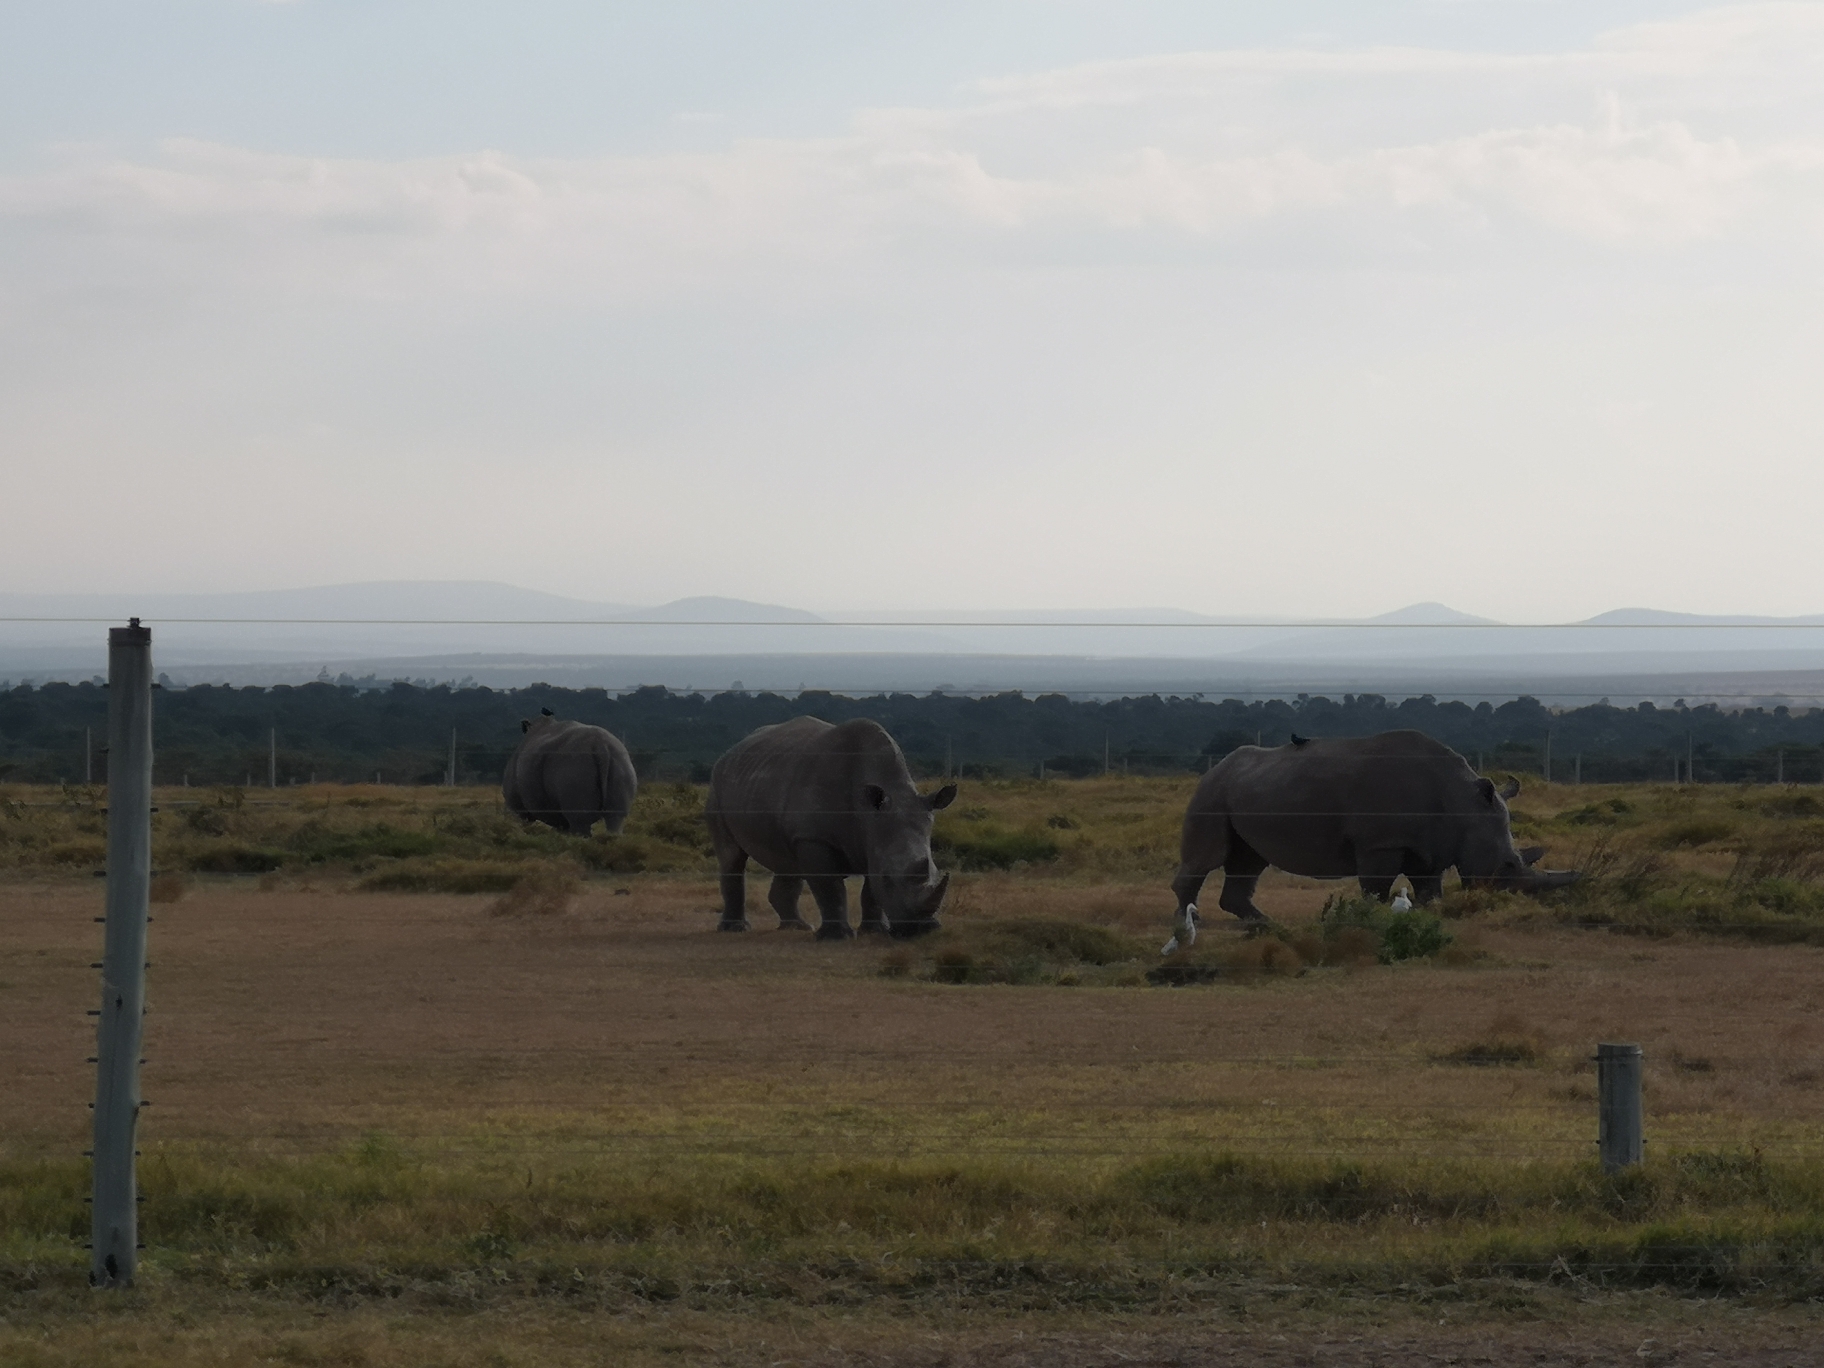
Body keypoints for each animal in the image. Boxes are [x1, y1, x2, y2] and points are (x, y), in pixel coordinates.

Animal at [503, 718, 638, 835]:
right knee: (616, 818)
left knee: (580, 822)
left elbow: (524, 822)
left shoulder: (518, 808)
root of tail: (601, 746)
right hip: (620, 759)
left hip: (575, 766)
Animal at [704, 718, 963, 941]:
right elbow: (830, 887)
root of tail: (730, 752)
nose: (922, 929)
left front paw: (874, 931)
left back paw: (798, 927)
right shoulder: (814, 837)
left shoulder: (873, 840)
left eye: (936, 871)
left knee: (787, 860)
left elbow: (869, 891)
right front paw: (837, 937)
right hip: (716, 787)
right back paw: (736, 929)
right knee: (732, 857)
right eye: (887, 878)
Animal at [1167, 729, 1583, 955]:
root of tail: (1215, 767)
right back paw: (1186, 922)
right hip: (1212, 792)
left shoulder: (1430, 847)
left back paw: (1265, 925)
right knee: (1209, 858)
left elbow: (1429, 890)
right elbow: (1376, 888)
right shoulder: (1380, 843)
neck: (1463, 804)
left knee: (1249, 860)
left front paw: (1428, 917)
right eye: (1507, 866)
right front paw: (1369, 921)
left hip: (1246, 790)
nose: (1505, 900)